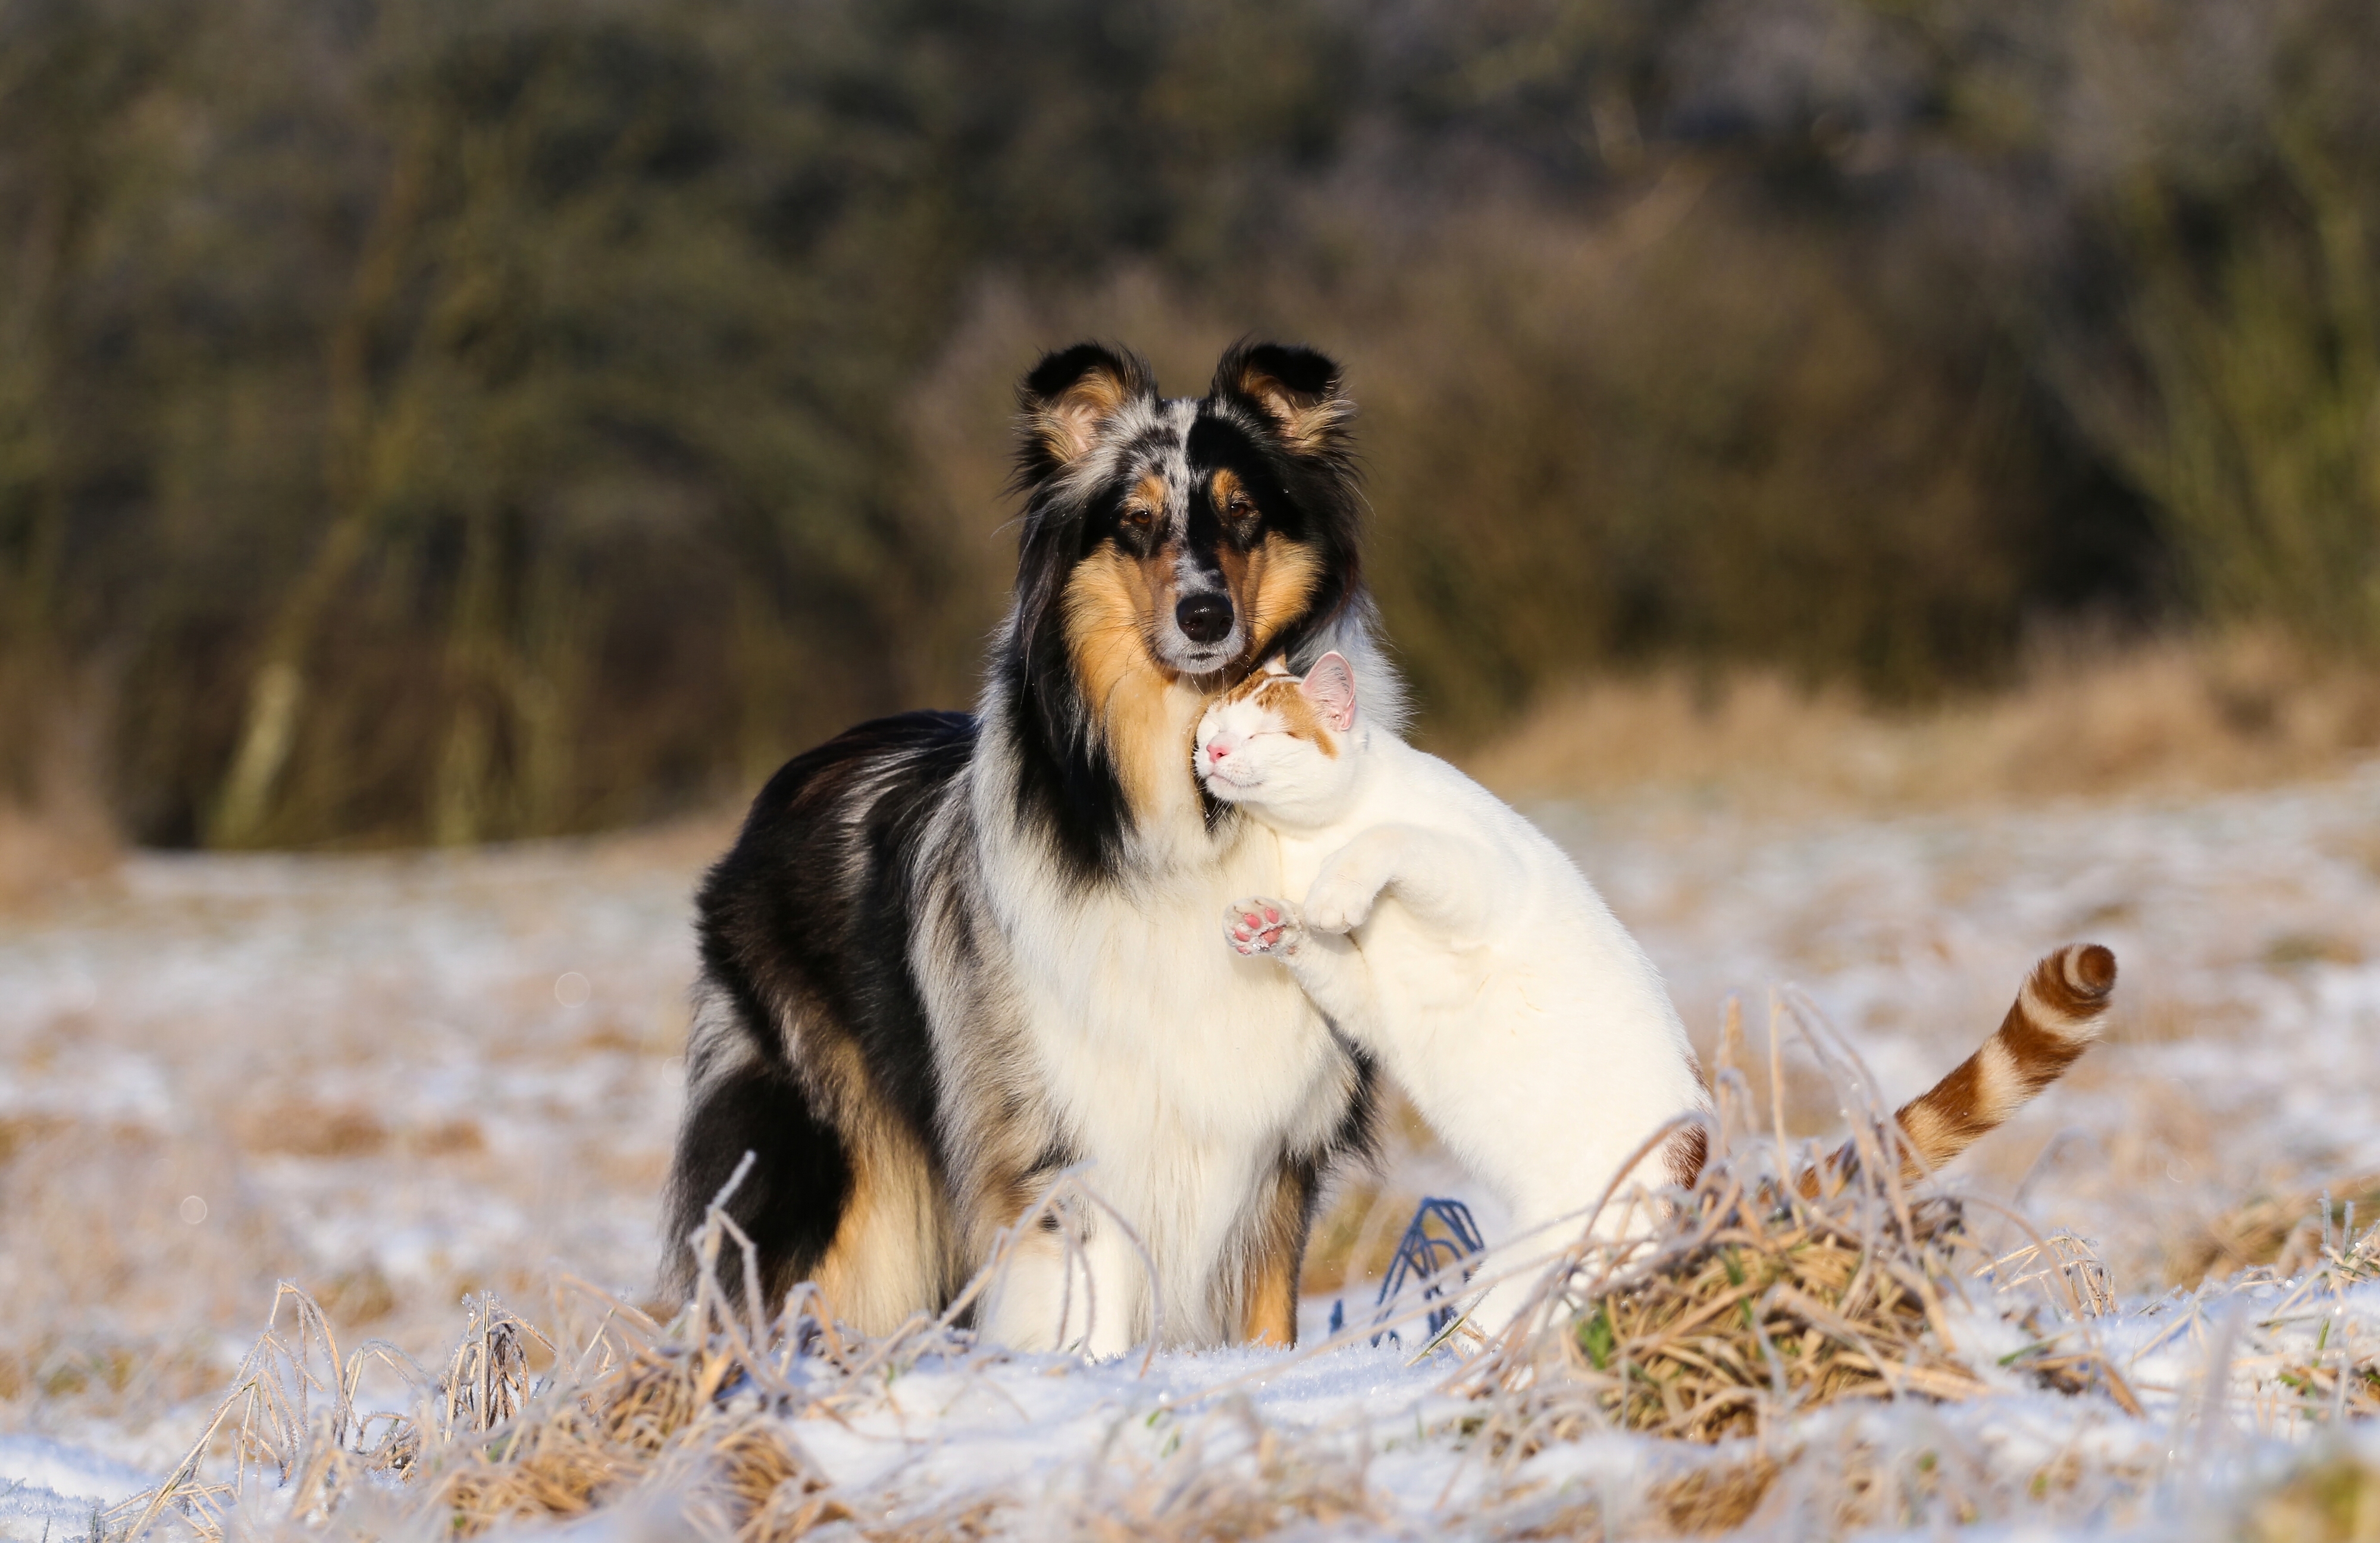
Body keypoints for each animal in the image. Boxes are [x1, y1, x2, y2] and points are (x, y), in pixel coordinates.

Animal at [657, 338, 1390, 1352]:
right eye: (1136, 522)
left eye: (1244, 511)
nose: (1205, 617)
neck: (1186, 793)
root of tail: (789, 776)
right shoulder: (1072, 1140)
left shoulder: (1274, 1147)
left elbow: (1269, 1315)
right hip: (848, 1184)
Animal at [1200, 652, 1704, 1324]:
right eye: (1211, 724)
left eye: (1260, 734)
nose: (1214, 750)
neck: (1315, 840)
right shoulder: (1370, 1001)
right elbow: (1323, 953)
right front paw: (1268, 923)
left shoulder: (1481, 880)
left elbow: (1390, 839)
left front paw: (1336, 891)